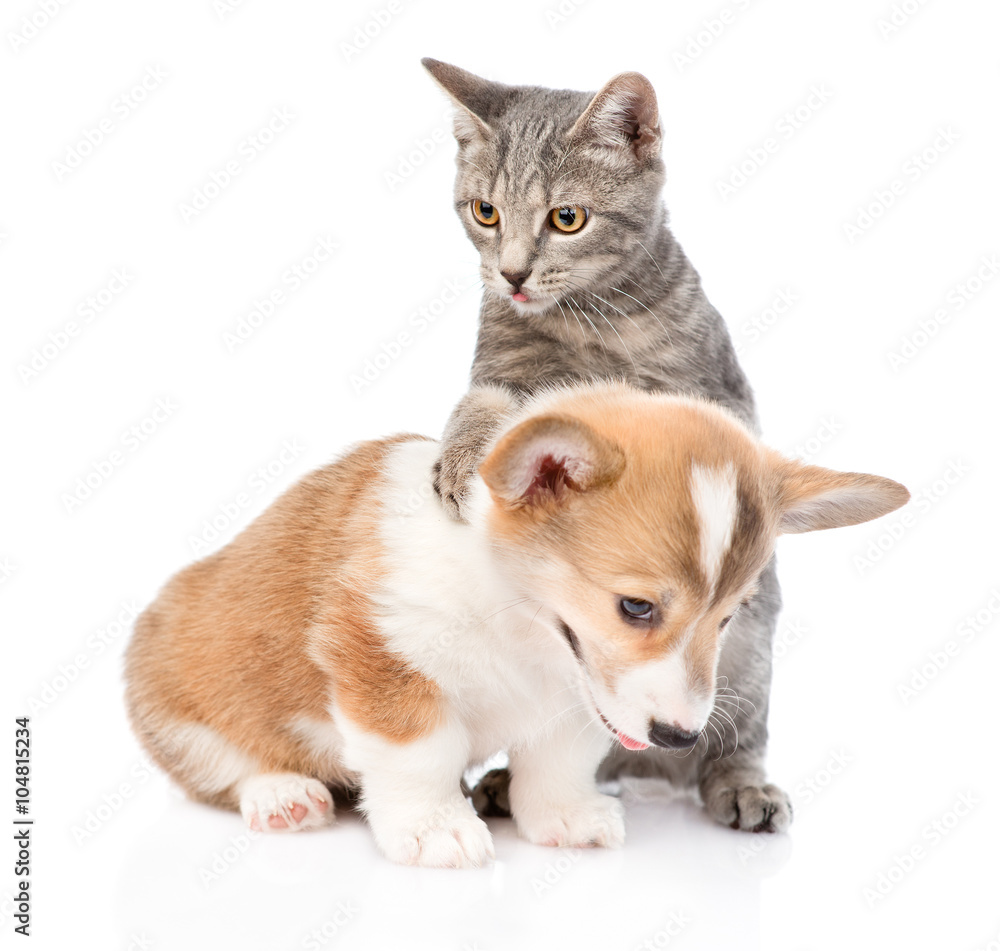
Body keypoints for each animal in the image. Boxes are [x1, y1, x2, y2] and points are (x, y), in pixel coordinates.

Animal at [123, 384, 908, 868]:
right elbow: (420, 755)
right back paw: (282, 795)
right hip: (171, 699)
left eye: (731, 615)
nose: (681, 738)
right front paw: (436, 828)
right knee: (223, 769)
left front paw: (562, 817)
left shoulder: (581, 702)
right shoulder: (384, 659)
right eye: (637, 607)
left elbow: (558, 763)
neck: (517, 621)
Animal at [422, 59, 788, 832]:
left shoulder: (716, 392)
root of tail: (639, 757)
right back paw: (506, 783)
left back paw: (741, 784)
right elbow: (486, 409)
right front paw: (461, 458)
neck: (589, 320)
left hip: (747, 651)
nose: (512, 274)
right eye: (485, 212)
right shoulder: (503, 371)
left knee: (730, 735)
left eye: (568, 218)